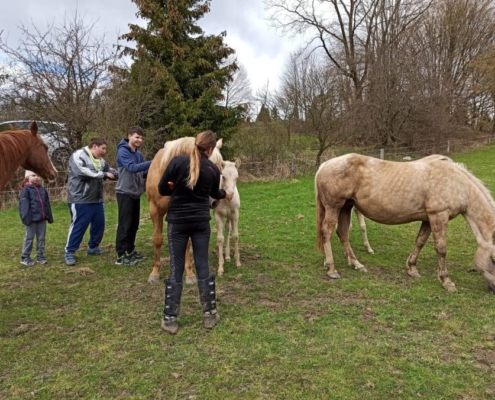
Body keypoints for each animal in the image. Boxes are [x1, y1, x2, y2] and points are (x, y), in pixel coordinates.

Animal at [147, 138, 225, 284]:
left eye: (220, 170)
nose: (214, 201)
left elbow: (187, 244)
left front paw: (189, 274)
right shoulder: (154, 209)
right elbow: (157, 239)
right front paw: (154, 272)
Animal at [316, 153, 495, 294]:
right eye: (493, 259)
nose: (493, 289)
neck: (456, 183)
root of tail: (324, 165)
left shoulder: (428, 219)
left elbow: (420, 242)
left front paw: (412, 269)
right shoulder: (439, 216)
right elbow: (441, 249)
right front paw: (446, 281)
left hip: (346, 207)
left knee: (343, 233)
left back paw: (356, 264)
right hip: (334, 206)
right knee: (327, 232)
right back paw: (332, 269)